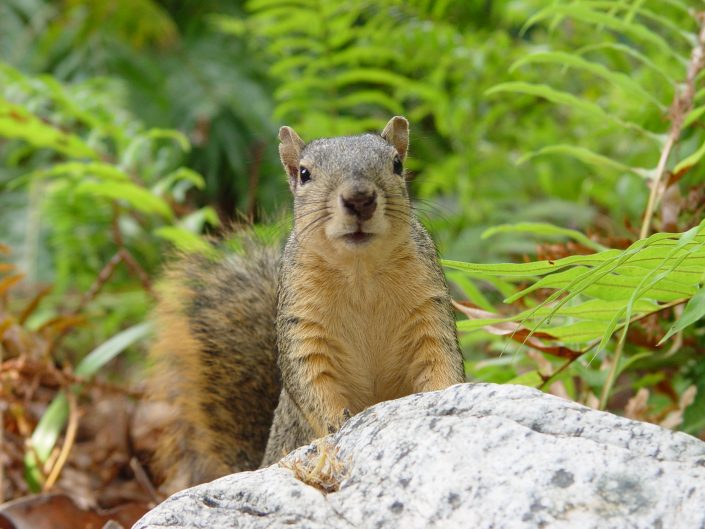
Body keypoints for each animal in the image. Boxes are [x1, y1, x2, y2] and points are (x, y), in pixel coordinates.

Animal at [148, 116, 465, 493]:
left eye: (397, 165)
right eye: (304, 173)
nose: (360, 198)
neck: (360, 273)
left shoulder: (429, 310)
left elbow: (441, 361)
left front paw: (444, 395)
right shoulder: (302, 326)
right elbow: (311, 382)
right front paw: (337, 423)